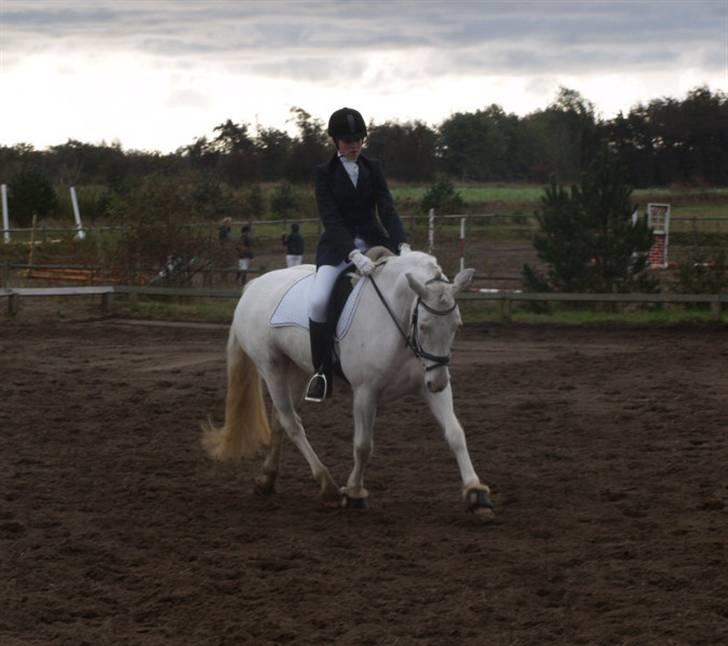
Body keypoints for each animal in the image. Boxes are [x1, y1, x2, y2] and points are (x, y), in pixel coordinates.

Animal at [202, 248, 492, 520]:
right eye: (423, 326)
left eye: (457, 325)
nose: (439, 383)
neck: (396, 320)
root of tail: (254, 285)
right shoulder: (366, 392)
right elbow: (363, 445)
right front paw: (354, 492)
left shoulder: (428, 384)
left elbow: (455, 433)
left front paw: (475, 493)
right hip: (270, 366)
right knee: (291, 422)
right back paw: (328, 487)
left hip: (296, 369)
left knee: (279, 419)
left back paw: (267, 479)